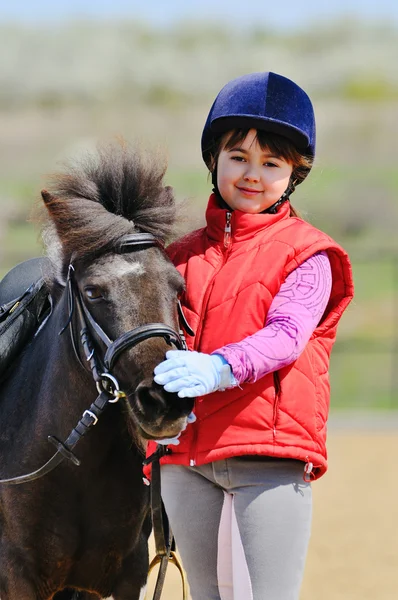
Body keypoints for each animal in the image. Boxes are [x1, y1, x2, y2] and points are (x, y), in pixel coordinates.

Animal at [0, 142, 194, 600]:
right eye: (92, 291)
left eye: (177, 286)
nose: (165, 400)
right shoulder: (17, 576)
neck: (74, 467)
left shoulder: (123, 576)